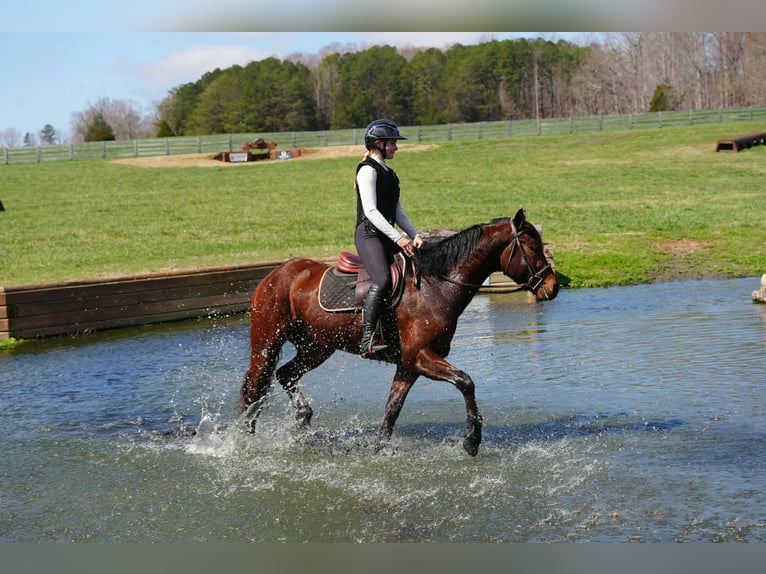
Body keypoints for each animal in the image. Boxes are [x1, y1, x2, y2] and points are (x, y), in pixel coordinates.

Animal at [239, 208, 559, 456]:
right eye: (532, 248)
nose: (553, 287)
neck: (435, 287)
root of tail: (277, 273)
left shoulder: (408, 365)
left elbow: (392, 408)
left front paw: (380, 448)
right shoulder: (420, 357)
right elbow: (466, 382)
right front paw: (471, 441)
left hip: (318, 347)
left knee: (285, 374)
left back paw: (303, 418)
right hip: (267, 342)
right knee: (255, 389)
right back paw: (245, 439)